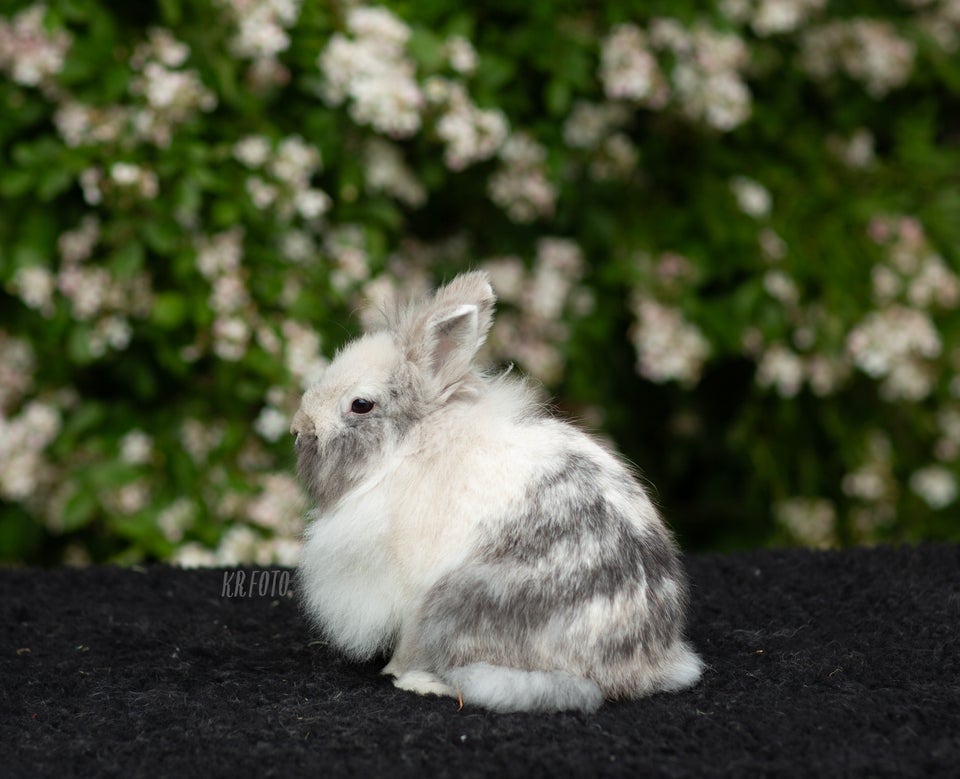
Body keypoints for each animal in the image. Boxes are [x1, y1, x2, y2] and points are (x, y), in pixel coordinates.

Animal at [288, 270, 700, 712]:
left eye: (361, 404)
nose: (298, 429)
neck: (410, 445)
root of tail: (642, 669)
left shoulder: (411, 593)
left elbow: (408, 642)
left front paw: (394, 671)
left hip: (457, 602)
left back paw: (424, 682)